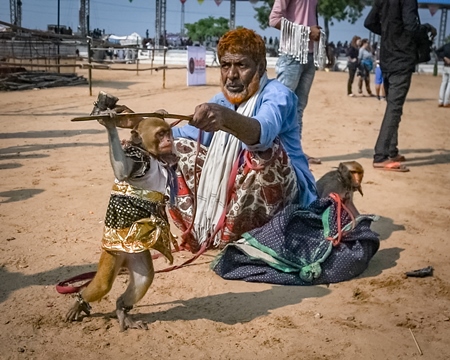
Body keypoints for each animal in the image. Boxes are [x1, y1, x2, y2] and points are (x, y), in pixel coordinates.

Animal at [65, 110, 178, 332]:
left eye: (168, 132)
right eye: (160, 134)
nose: (169, 140)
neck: (152, 156)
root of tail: (125, 255)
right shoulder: (138, 158)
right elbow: (123, 170)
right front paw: (109, 123)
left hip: (136, 252)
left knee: (144, 278)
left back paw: (121, 309)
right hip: (113, 251)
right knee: (102, 284)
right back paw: (80, 301)